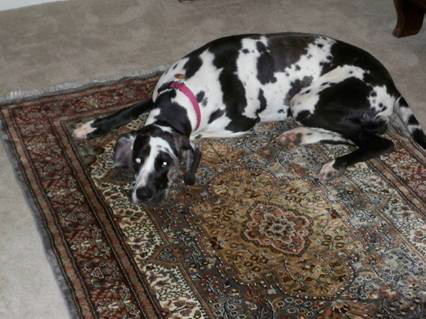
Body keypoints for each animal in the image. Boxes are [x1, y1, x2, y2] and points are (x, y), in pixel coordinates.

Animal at [73, 33, 426, 205]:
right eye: (137, 159)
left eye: (164, 163)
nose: (142, 194)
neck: (191, 87)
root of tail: (390, 83)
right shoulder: (159, 92)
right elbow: (129, 109)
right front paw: (91, 125)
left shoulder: (239, 123)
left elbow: (197, 134)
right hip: (309, 108)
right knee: (353, 133)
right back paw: (299, 136)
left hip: (307, 102)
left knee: (378, 141)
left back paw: (333, 164)